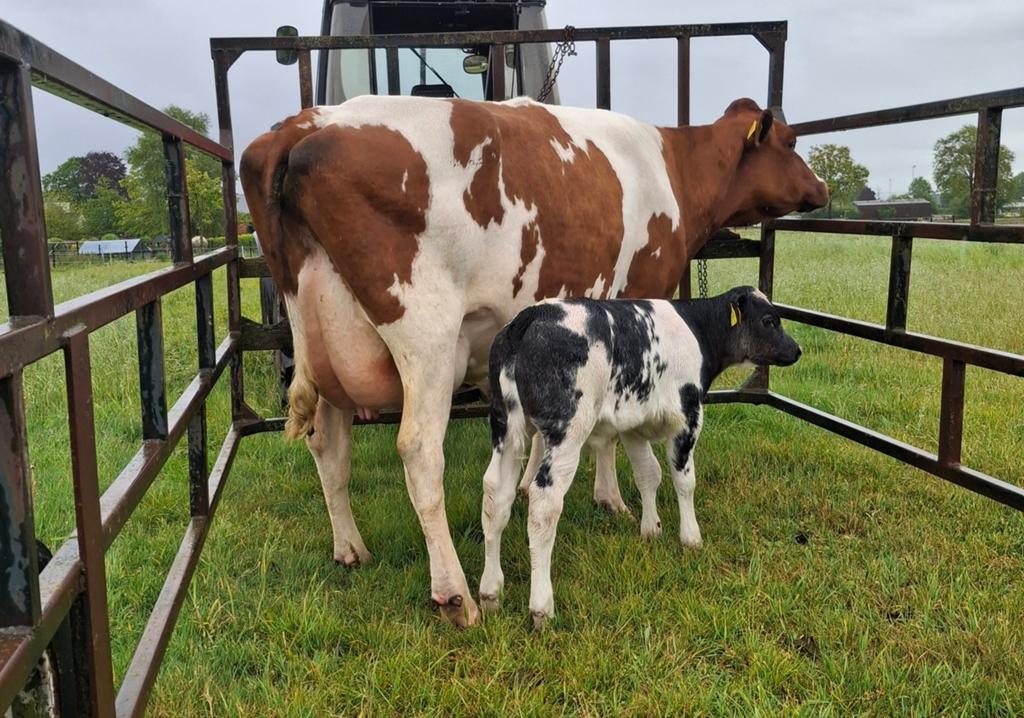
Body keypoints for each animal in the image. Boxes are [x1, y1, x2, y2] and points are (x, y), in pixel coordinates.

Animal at [479, 287, 802, 626]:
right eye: (769, 321)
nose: (797, 349)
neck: (697, 328)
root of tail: (531, 316)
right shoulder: (689, 415)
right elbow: (683, 480)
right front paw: (691, 537)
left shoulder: (634, 423)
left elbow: (648, 474)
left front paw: (651, 529)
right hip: (566, 430)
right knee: (544, 503)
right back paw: (541, 606)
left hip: (505, 426)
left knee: (495, 494)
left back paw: (490, 591)